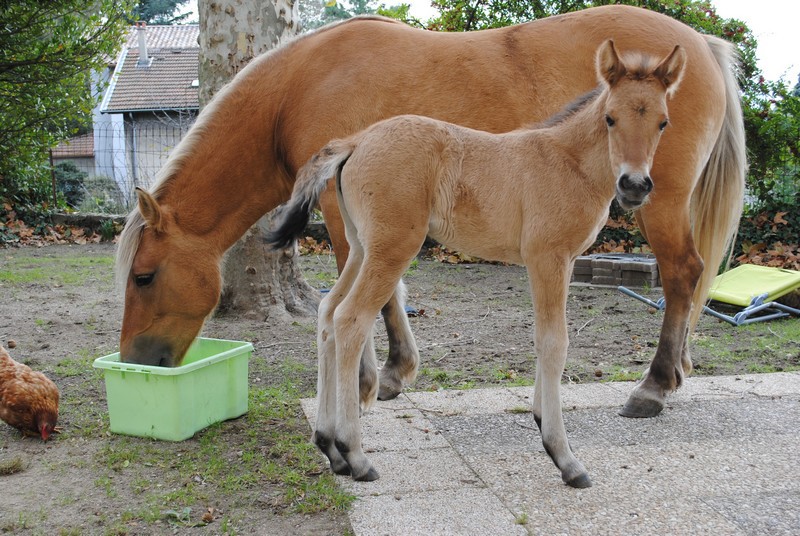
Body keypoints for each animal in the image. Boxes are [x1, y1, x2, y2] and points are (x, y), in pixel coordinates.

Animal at [114, 6, 744, 420]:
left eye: (143, 277)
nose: (137, 363)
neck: (297, 89)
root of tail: (699, 44)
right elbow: (389, 292)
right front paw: (395, 373)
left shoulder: (343, 213)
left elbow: (364, 297)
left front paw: (367, 382)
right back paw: (677, 370)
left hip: (658, 201)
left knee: (683, 273)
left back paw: (654, 385)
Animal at [270, 39, 688, 488]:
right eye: (611, 118)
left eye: (663, 123)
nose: (635, 186)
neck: (568, 162)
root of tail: (356, 141)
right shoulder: (549, 258)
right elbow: (554, 342)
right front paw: (564, 456)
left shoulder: (557, 262)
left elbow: (543, 338)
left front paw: (540, 419)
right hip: (392, 248)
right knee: (350, 319)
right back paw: (355, 455)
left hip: (361, 247)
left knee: (328, 313)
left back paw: (329, 446)